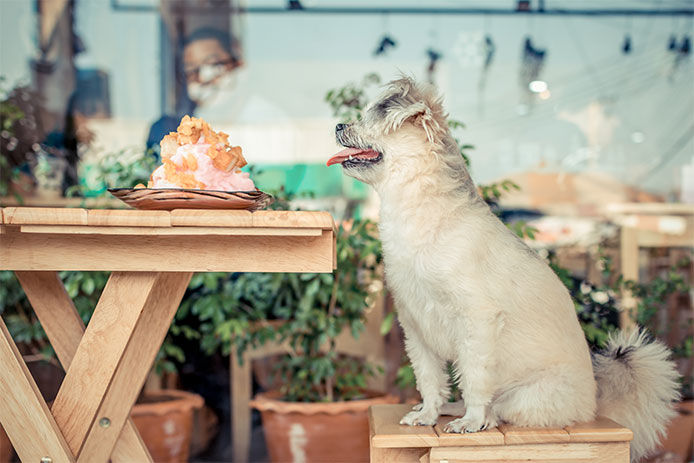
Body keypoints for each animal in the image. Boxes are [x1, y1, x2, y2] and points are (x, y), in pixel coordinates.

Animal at [328, 76, 684, 460]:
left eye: (373, 119)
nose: (338, 125)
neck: (424, 219)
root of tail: (595, 405)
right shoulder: (416, 329)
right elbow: (430, 379)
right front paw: (428, 414)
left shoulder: (477, 322)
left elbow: (473, 377)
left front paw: (471, 420)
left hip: (523, 397)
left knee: (498, 408)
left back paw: (478, 417)